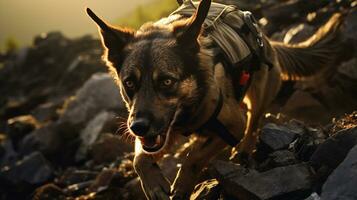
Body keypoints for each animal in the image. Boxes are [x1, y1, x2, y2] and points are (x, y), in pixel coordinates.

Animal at [86, 0, 342, 198]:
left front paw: (182, 185)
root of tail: (267, 40)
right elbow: (140, 160)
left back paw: (244, 149)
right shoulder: (159, 133)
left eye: (167, 82)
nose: (137, 127)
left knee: (255, 122)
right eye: (129, 83)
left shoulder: (232, 126)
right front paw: (154, 185)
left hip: (259, 93)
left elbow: (195, 157)